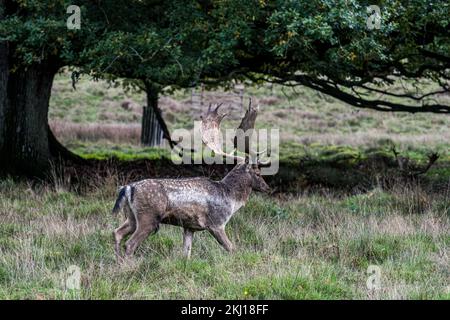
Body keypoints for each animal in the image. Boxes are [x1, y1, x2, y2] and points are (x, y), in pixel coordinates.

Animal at [111, 100, 270, 262]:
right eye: (258, 173)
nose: (267, 188)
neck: (230, 197)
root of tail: (127, 188)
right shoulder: (216, 223)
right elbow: (231, 248)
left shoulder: (189, 227)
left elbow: (186, 253)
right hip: (148, 217)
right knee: (130, 244)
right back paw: (128, 265)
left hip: (131, 217)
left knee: (117, 232)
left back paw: (118, 263)